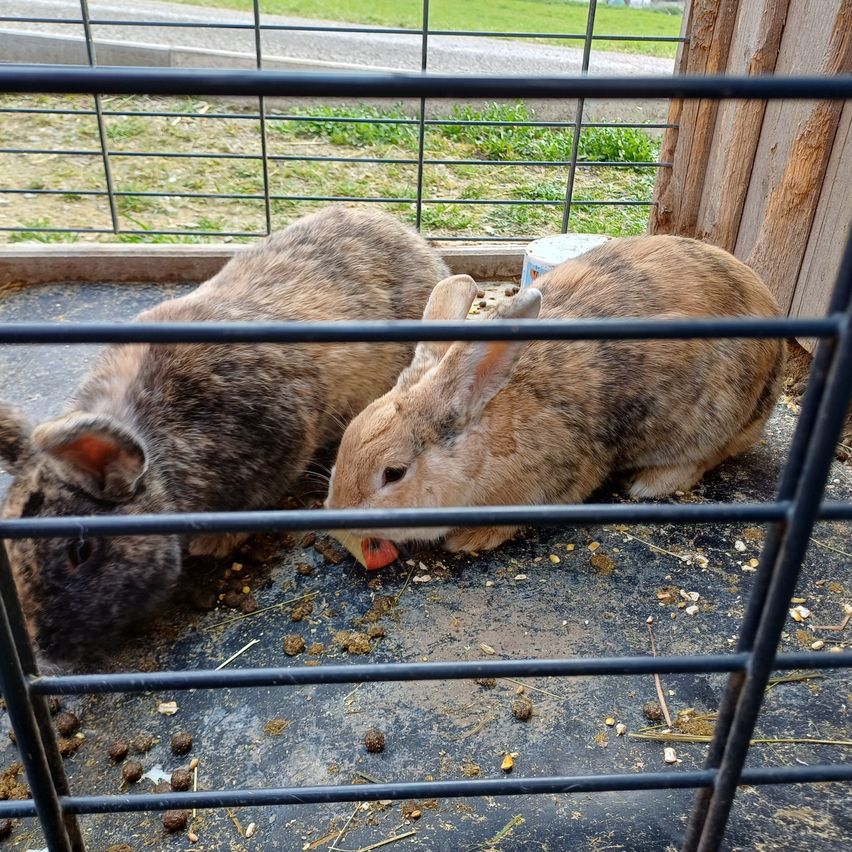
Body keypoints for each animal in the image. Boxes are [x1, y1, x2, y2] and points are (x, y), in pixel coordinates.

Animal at [325, 235, 785, 558]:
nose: (335, 512)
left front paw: (470, 538)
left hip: (716, 416)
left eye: (393, 473)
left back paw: (649, 484)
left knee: (707, 456)